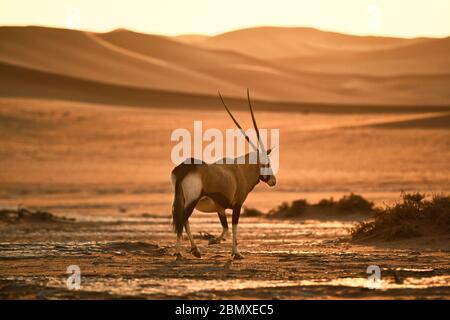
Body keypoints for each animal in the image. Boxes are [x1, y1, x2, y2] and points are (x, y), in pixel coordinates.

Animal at [171, 89, 276, 258]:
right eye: (266, 163)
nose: (273, 181)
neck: (241, 170)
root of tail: (183, 169)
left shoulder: (220, 207)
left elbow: (225, 227)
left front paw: (214, 240)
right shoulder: (238, 204)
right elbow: (233, 227)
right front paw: (236, 253)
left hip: (182, 199)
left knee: (183, 221)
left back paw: (195, 250)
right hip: (192, 200)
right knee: (182, 220)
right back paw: (179, 252)